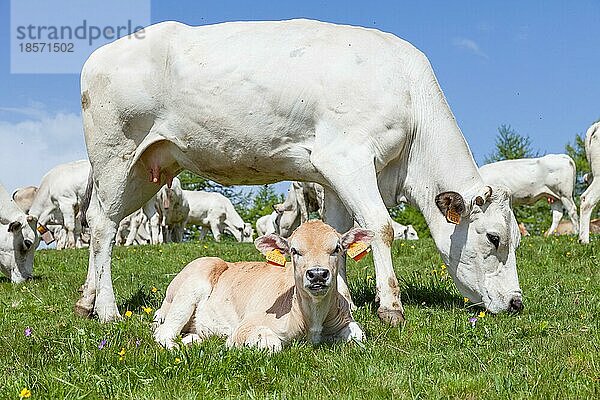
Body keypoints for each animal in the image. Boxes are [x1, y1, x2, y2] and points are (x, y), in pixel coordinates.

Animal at [78, 20, 520, 324]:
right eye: (494, 238)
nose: (517, 302)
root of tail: (100, 56)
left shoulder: (335, 176)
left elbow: (340, 233)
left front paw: (343, 296)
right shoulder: (347, 157)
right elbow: (381, 226)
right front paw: (390, 307)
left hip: (146, 167)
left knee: (103, 224)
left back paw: (86, 300)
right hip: (115, 155)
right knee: (102, 225)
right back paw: (107, 310)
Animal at [154, 220, 370, 352]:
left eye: (337, 248)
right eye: (294, 250)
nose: (317, 274)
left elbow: (358, 335)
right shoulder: (245, 326)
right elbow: (271, 343)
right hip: (191, 287)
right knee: (163, 332)